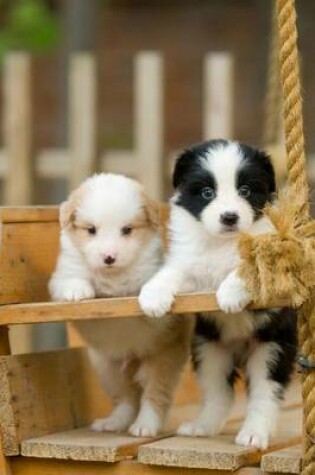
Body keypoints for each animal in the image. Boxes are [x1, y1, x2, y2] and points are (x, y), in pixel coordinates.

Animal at [49, 173, 193, 436]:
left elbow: (152, 282)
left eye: (127, 230)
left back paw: (145, 425)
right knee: (126, 399)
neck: (113, 278)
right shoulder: (62, 275)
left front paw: (154, 299)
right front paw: (77, 290)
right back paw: (114, 422)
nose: (109, 257)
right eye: (91, 230)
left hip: (161, 361)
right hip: (107, 367)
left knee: (153, 397)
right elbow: (71, 279)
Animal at [139, 139, 298, 450]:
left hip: (271, 347)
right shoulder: (192, 270)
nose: (229, 217)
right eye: (207, 193)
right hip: (210, 348)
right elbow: (172, 272)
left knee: (264, 394)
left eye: (245, 190)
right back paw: (202, 426)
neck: (223, 243)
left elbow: (247, 268)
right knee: (218, 392)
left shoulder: (270, 263)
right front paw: (152, 297)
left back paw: (254, 434)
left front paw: (229, 295)